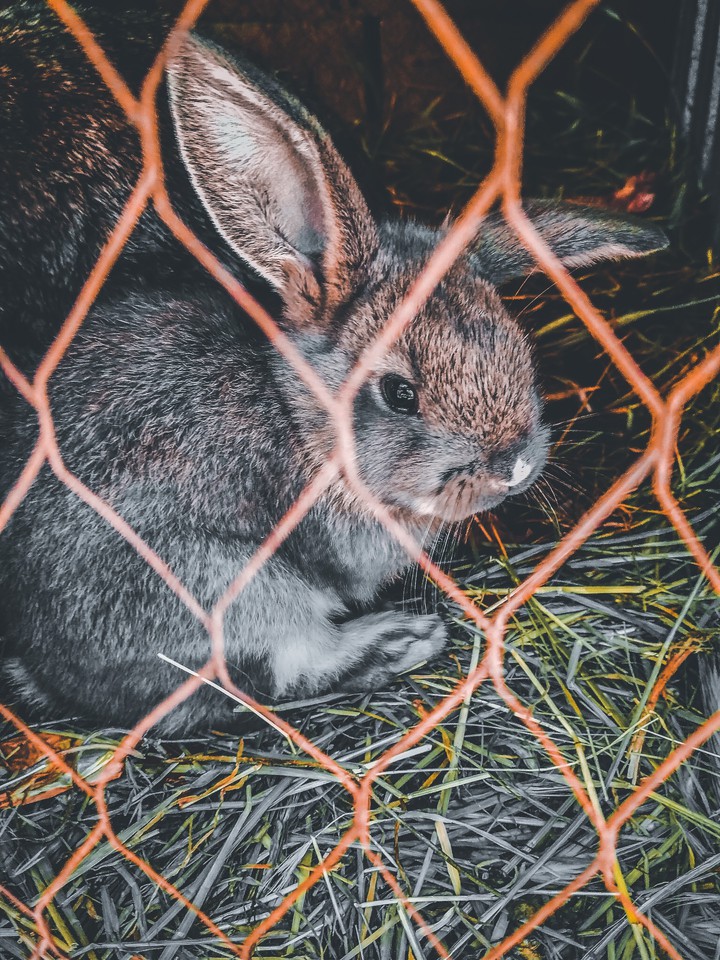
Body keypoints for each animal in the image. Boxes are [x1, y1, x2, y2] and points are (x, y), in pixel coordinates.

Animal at [0, 8, 668, 733]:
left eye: (519, 350)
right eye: (399, 394)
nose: (513, 466)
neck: (304, 425)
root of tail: (45, 669)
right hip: (235, 589)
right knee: (284, 672)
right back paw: (404, 638)